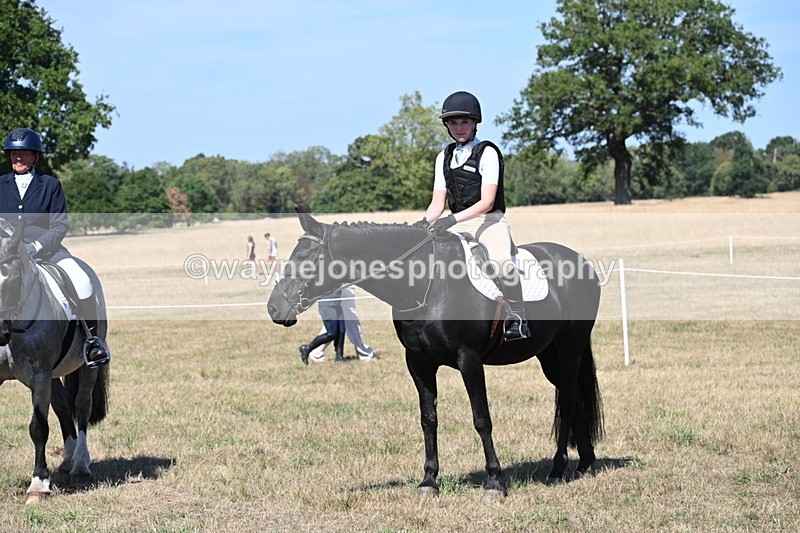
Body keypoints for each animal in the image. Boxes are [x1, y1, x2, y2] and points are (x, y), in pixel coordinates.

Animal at [0, 219, 110, 504]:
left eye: (14, 280)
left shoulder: (39, 373)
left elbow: (38, 427)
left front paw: (38, 485)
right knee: (61, 404)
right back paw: (68, 459)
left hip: (86, 367)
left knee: (81, 406)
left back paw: (80, 466)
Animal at [268, 212, 603, 498]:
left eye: (305, 260)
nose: (274, 308)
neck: (426, 285)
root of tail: (581, 262)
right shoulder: (419, 363)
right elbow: (428, 419)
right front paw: (429, 480)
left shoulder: (469, 360)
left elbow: (481, 418)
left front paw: (494, 481)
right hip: (549, 355)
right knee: (572, 396)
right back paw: (585, 463)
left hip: (569, 348)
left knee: (568, 399)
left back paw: (558, 468)